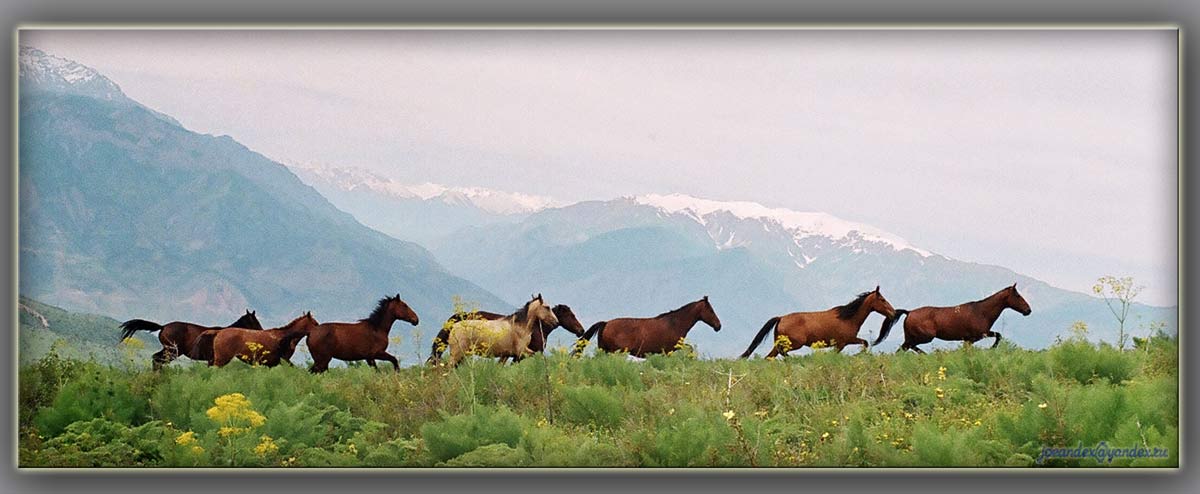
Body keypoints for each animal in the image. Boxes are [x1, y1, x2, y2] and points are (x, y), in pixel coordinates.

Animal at [118, 309, 262, 369]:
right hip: (172, 351)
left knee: (156, 359)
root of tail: (163, 327)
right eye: (255, 321)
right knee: (157, 359)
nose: (261, 330)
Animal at [573, 294, 720, 357]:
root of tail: (606, 323)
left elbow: (690, 348)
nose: (718, 326)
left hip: (605, 350)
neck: (675, 323)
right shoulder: (670, 349)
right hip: (615, 352)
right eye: (711, 310)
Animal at [734, 285, 897, 359]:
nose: (893, 312)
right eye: (882, 300)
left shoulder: (845, 342)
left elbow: (865, 343)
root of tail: (781, 318)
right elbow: (864, 344)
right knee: (781, 353)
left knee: (770, 357)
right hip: (795, 343)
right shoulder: (844, 342)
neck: (848, 317)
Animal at [878, 281, 1036, 350]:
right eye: (1017, 295)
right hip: (924, 337)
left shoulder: (977, 336)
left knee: (904, 349)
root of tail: (909, 312)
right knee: (909, 347)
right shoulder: (974, 337)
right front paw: (992, 349)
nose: (1028, 310)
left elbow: (998, 335)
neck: (981, 312)